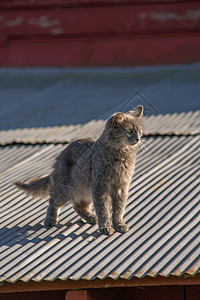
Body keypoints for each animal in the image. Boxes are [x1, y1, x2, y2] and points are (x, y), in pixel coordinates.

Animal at [14, 105, 143, 234]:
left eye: (140, 131)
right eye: (129, 131)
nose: (138, 139)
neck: (121, 155)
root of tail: (61, 155)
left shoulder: (121, 186)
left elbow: (119, 209)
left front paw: (119, 225)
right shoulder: (100, 186)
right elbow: (103, 209)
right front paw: (105, 227)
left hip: (85, 189)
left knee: (78, 205)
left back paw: (92, 218)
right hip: (65, 189)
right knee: (53, 202)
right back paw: (50, 220)